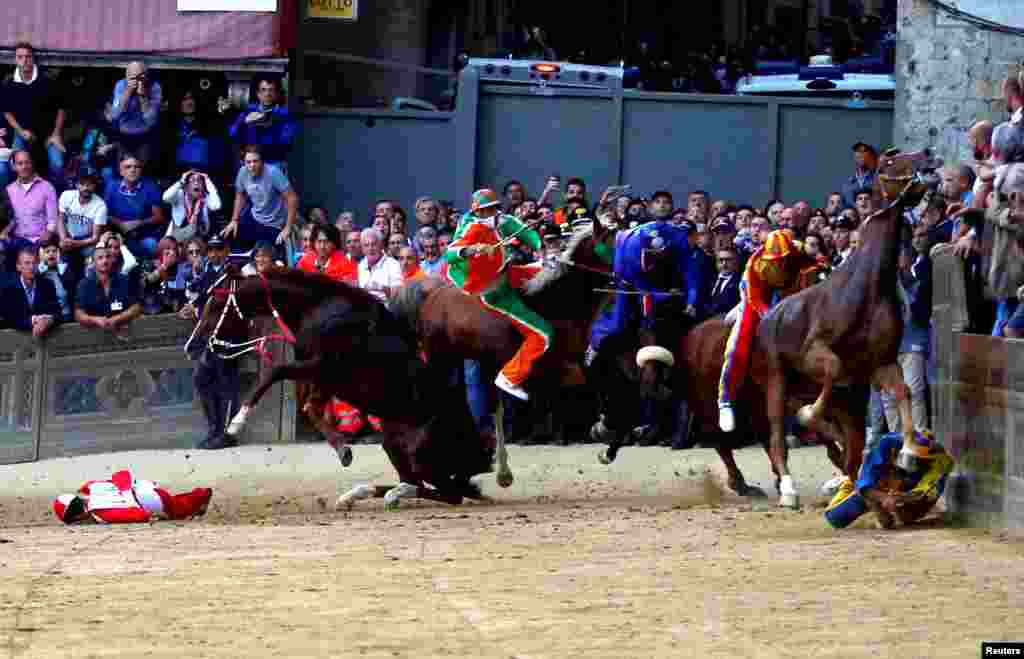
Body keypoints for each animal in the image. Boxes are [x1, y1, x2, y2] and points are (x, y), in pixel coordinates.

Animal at [192, 268, 499, 509]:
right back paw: (359, 494)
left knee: (447, 492)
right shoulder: (322, 377)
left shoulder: (319, 365)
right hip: (394, 442)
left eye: (216, 303)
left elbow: (274, 372)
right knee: (426, 485)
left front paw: (235, 424)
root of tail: (481, 453)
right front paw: (343, 450)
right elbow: (310, 407)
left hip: (421, 453)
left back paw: (392, 494)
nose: (194, 343)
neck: (320, 308)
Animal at [389, 221, 614, 489]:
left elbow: (601, 386)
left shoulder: (576, 364)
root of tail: (432, 294)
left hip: (474, 359)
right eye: (612, 242)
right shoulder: (551, 371)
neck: (553, 303)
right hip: (441, 357)